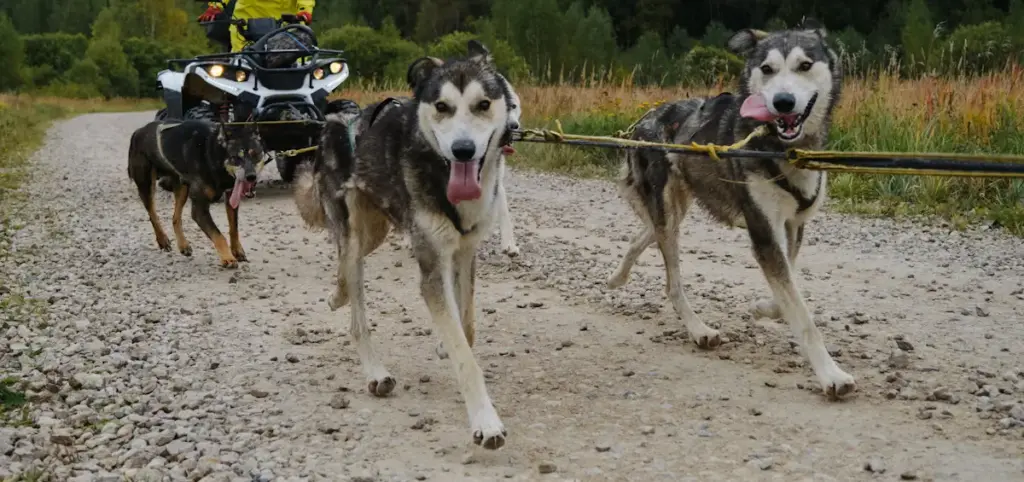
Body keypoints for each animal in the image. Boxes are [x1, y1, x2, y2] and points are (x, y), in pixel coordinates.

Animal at [126, 120, 268, 268]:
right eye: (235, 158)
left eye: (256, 154)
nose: (251, 176)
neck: (212, 154)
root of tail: (139, 131)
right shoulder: (199, 210)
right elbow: (218, 235)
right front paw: (228, 257)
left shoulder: (230, 197)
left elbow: (234, 228)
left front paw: (237, 250)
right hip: (147, 185)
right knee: (153, 214)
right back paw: (162, 239)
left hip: (182, 189)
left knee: (175, 218)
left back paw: (183, 245)